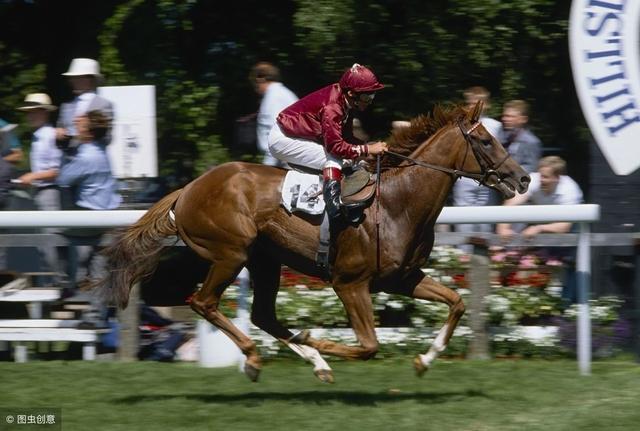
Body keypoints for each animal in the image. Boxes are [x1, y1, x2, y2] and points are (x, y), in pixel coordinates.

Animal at [97, 103, 528, 384]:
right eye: (485, 141)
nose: (522, 178)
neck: (397, 203)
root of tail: (186, 190)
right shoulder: (349, 283)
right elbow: (369, 345)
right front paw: (315, 338)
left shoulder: (402, 278)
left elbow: (456, 303)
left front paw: (425, 359)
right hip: (230, 253)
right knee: (204, 303)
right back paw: (259, 357)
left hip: (264, 260)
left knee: (262, 315)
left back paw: (314, 361)